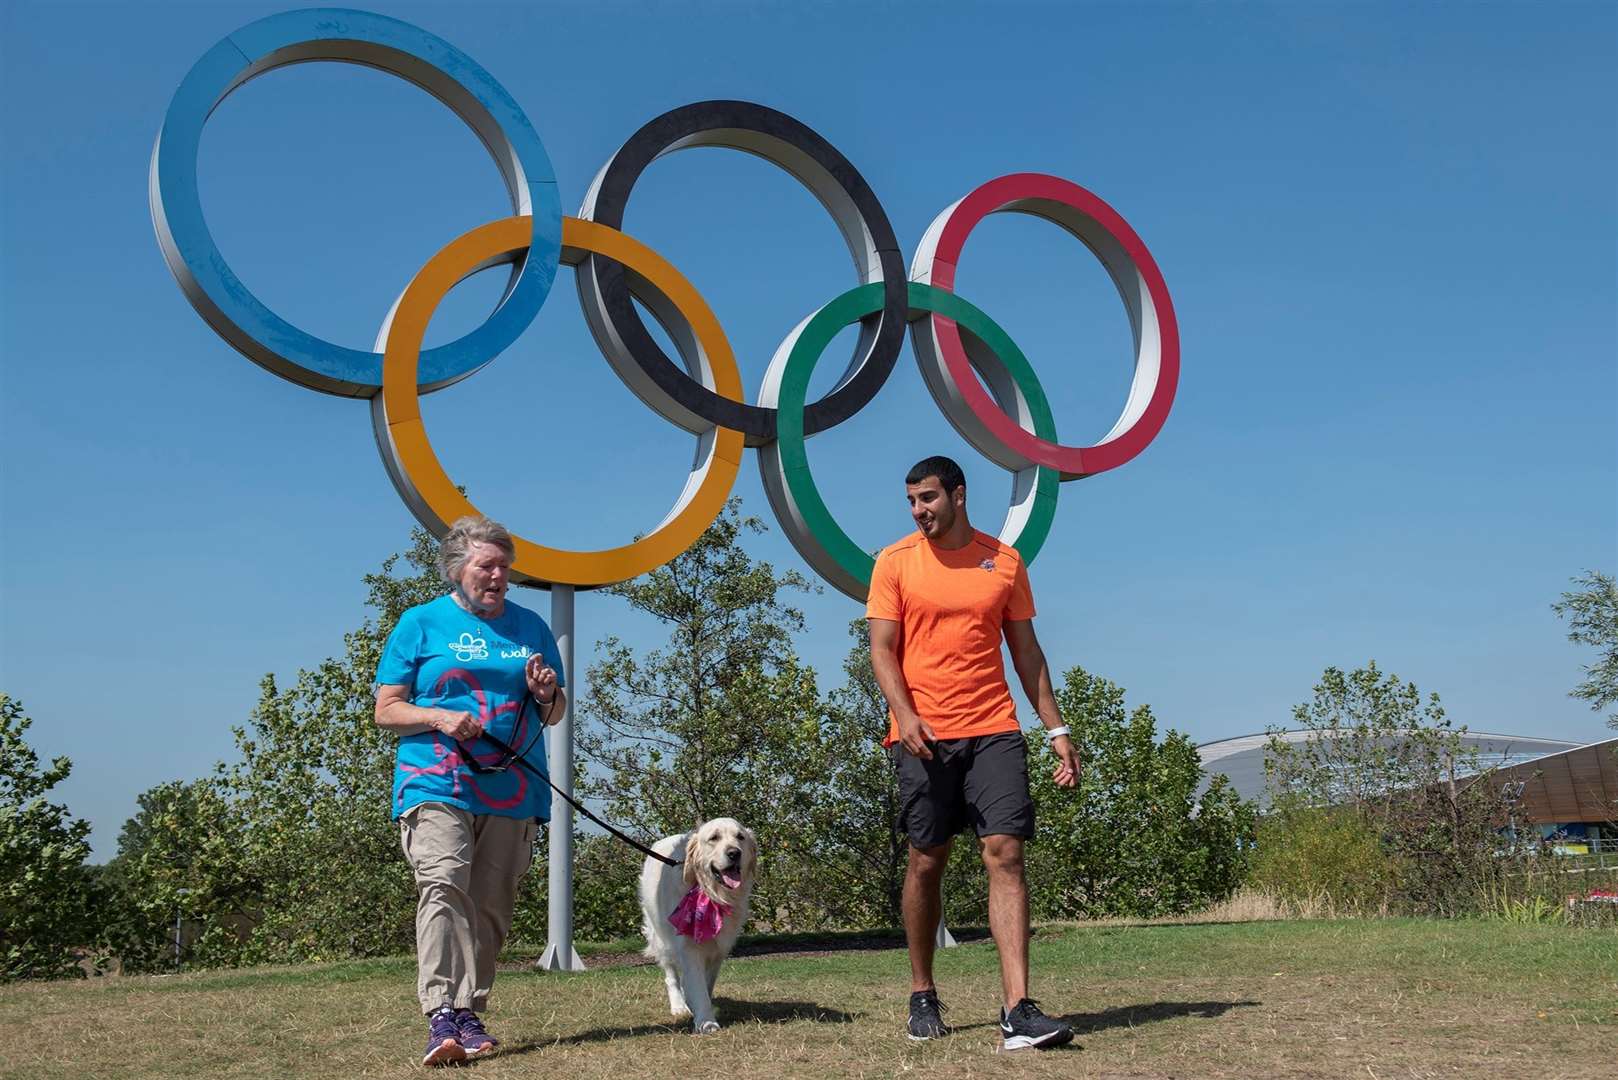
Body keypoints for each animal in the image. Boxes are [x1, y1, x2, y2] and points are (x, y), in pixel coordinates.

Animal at [637, 816, 757, 1036]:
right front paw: (706, 1023)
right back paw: (678, 1005)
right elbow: (697, 986)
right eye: (714, 838)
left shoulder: (718, 949)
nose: (734, 853)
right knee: (671, 976)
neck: (711, 894)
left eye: (740, 837)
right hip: (661, 938)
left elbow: (705, 984)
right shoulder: (688, 947)